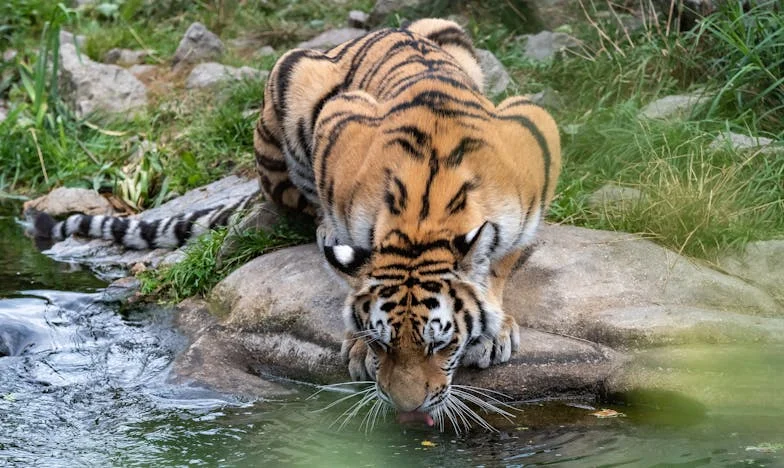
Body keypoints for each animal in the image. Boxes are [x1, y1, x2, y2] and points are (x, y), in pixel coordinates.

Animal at [29, 19, 556, 424]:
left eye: (439, 347)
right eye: (384, 344)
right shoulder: (341, 124)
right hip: (294, 77)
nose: (407, 408)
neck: (424, 221)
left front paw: (495, 329)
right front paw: (358, 347)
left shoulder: (535, 136)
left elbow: (503, 259)